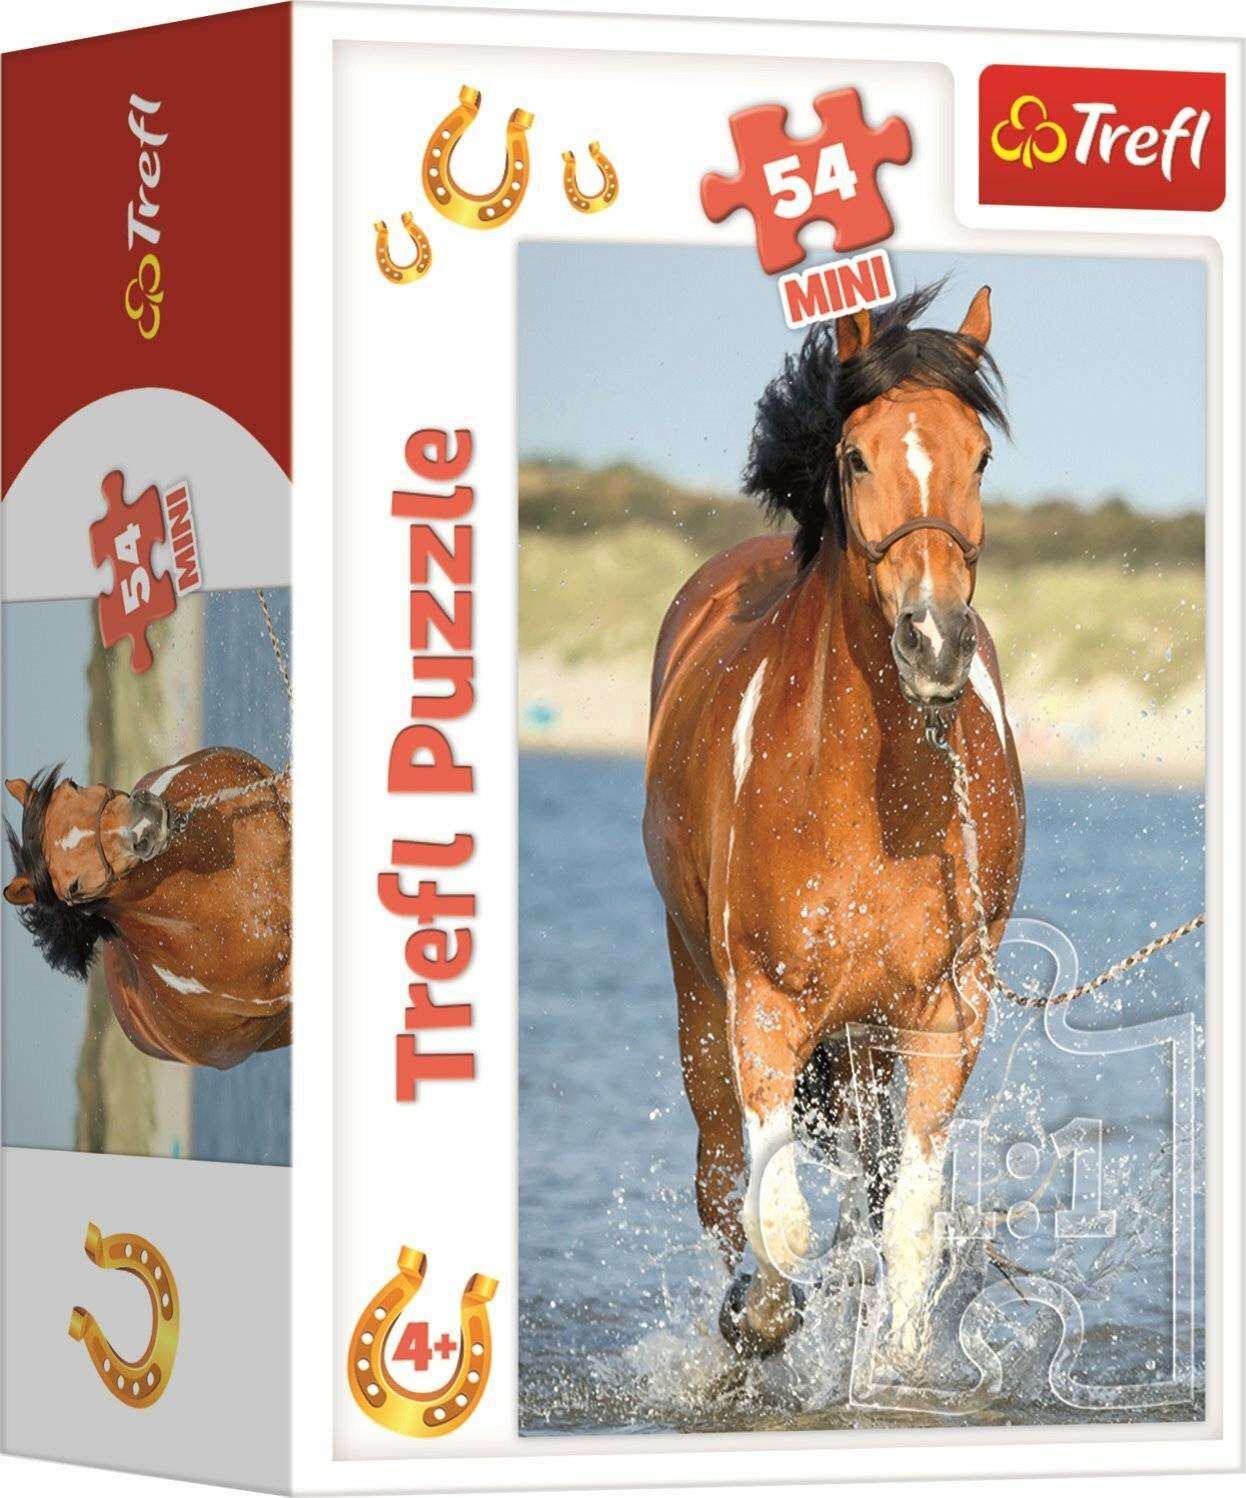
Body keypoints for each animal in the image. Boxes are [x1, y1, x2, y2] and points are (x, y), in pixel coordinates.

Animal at [643, 284, 1025, 1362]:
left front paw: (898, 1369)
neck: (867, 791)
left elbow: (909, 1222)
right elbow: (775, 1220)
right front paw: (759, 1318)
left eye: (980, 456)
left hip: (865, 1039)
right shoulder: (765, 1010)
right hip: (701, 997)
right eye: (856, 457)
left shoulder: (944, 1014)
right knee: (720, 1178)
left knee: (868, 1176)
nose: (935, 641)